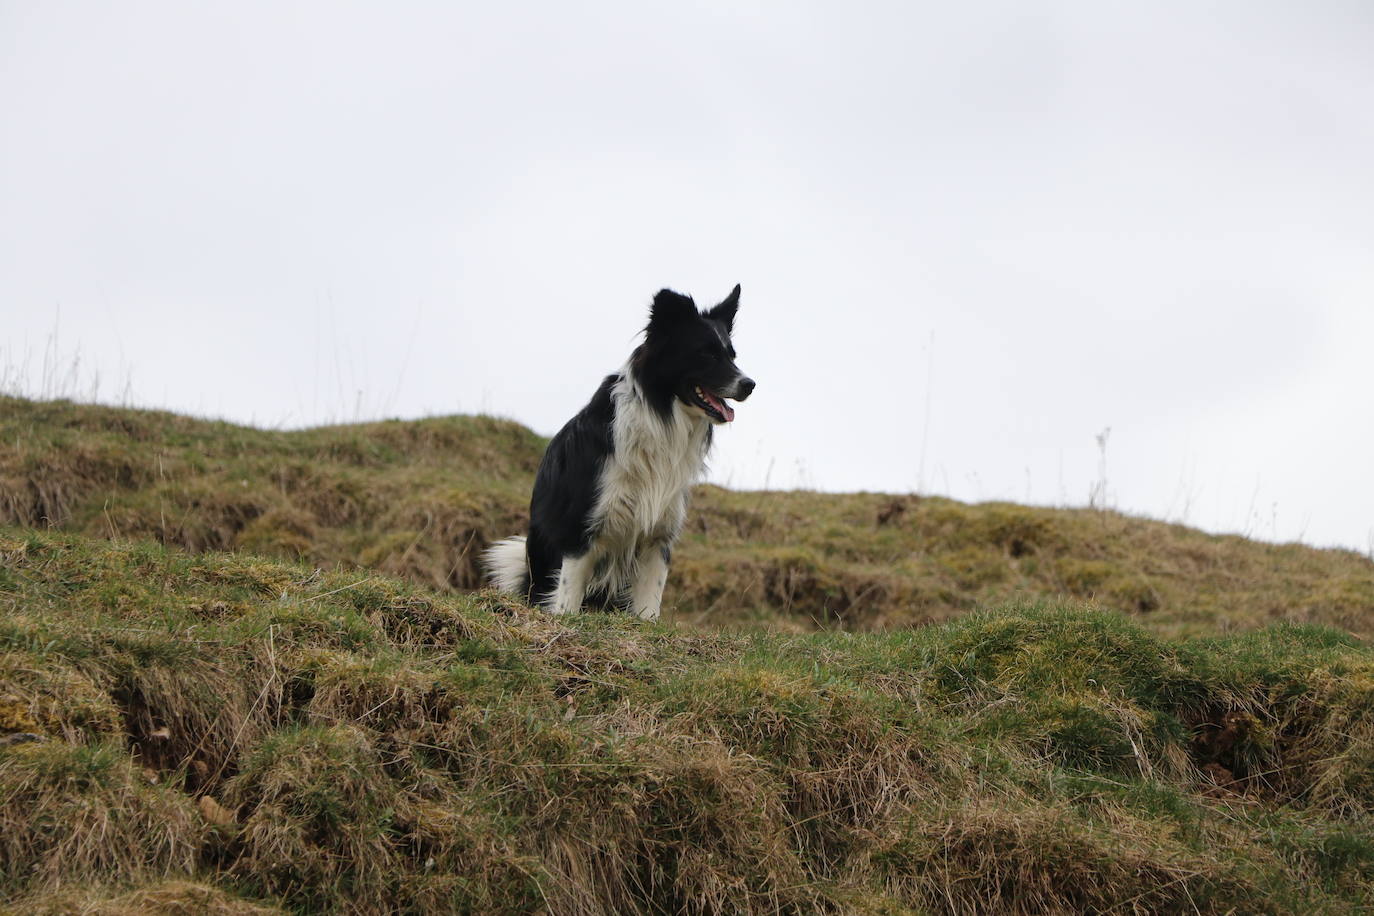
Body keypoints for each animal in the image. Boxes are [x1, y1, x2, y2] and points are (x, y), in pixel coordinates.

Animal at [483, 282, 758, 620]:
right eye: (706, 353)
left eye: (732, 355)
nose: (750, 384)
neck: (662, 416)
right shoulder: (580, 530)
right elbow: (567, 596)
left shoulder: (658, 537)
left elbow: (649, 603)